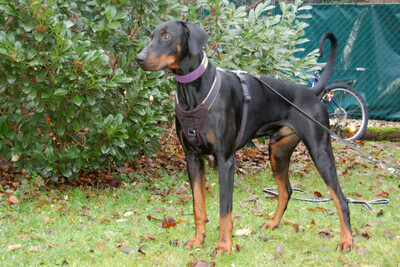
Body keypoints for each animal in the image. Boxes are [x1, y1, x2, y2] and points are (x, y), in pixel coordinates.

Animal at [137, 19, 354, 256]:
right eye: (151, 36)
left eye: (167, 36)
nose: (139, 58)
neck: (193, 91)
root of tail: (311, 92)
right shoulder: (192, 157)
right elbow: (198, 206)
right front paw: (198, 240)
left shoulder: (225, 159)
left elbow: (225, 210)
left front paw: (223, 245)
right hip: (278, 151)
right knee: (286, 190)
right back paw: (273, 223)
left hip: (319, 149)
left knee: (341, 198)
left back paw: (347, 240)